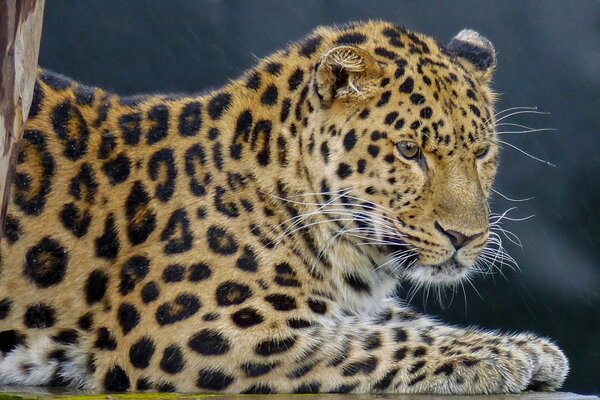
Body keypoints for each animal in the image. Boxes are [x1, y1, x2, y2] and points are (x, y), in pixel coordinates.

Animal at [0, 19, 568, 394]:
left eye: (482, 152)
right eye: (410, 151)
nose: (466, 238)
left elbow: (401, 322)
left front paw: (530, 348)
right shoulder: (193, 330)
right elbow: (371, 343)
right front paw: (495, 355)